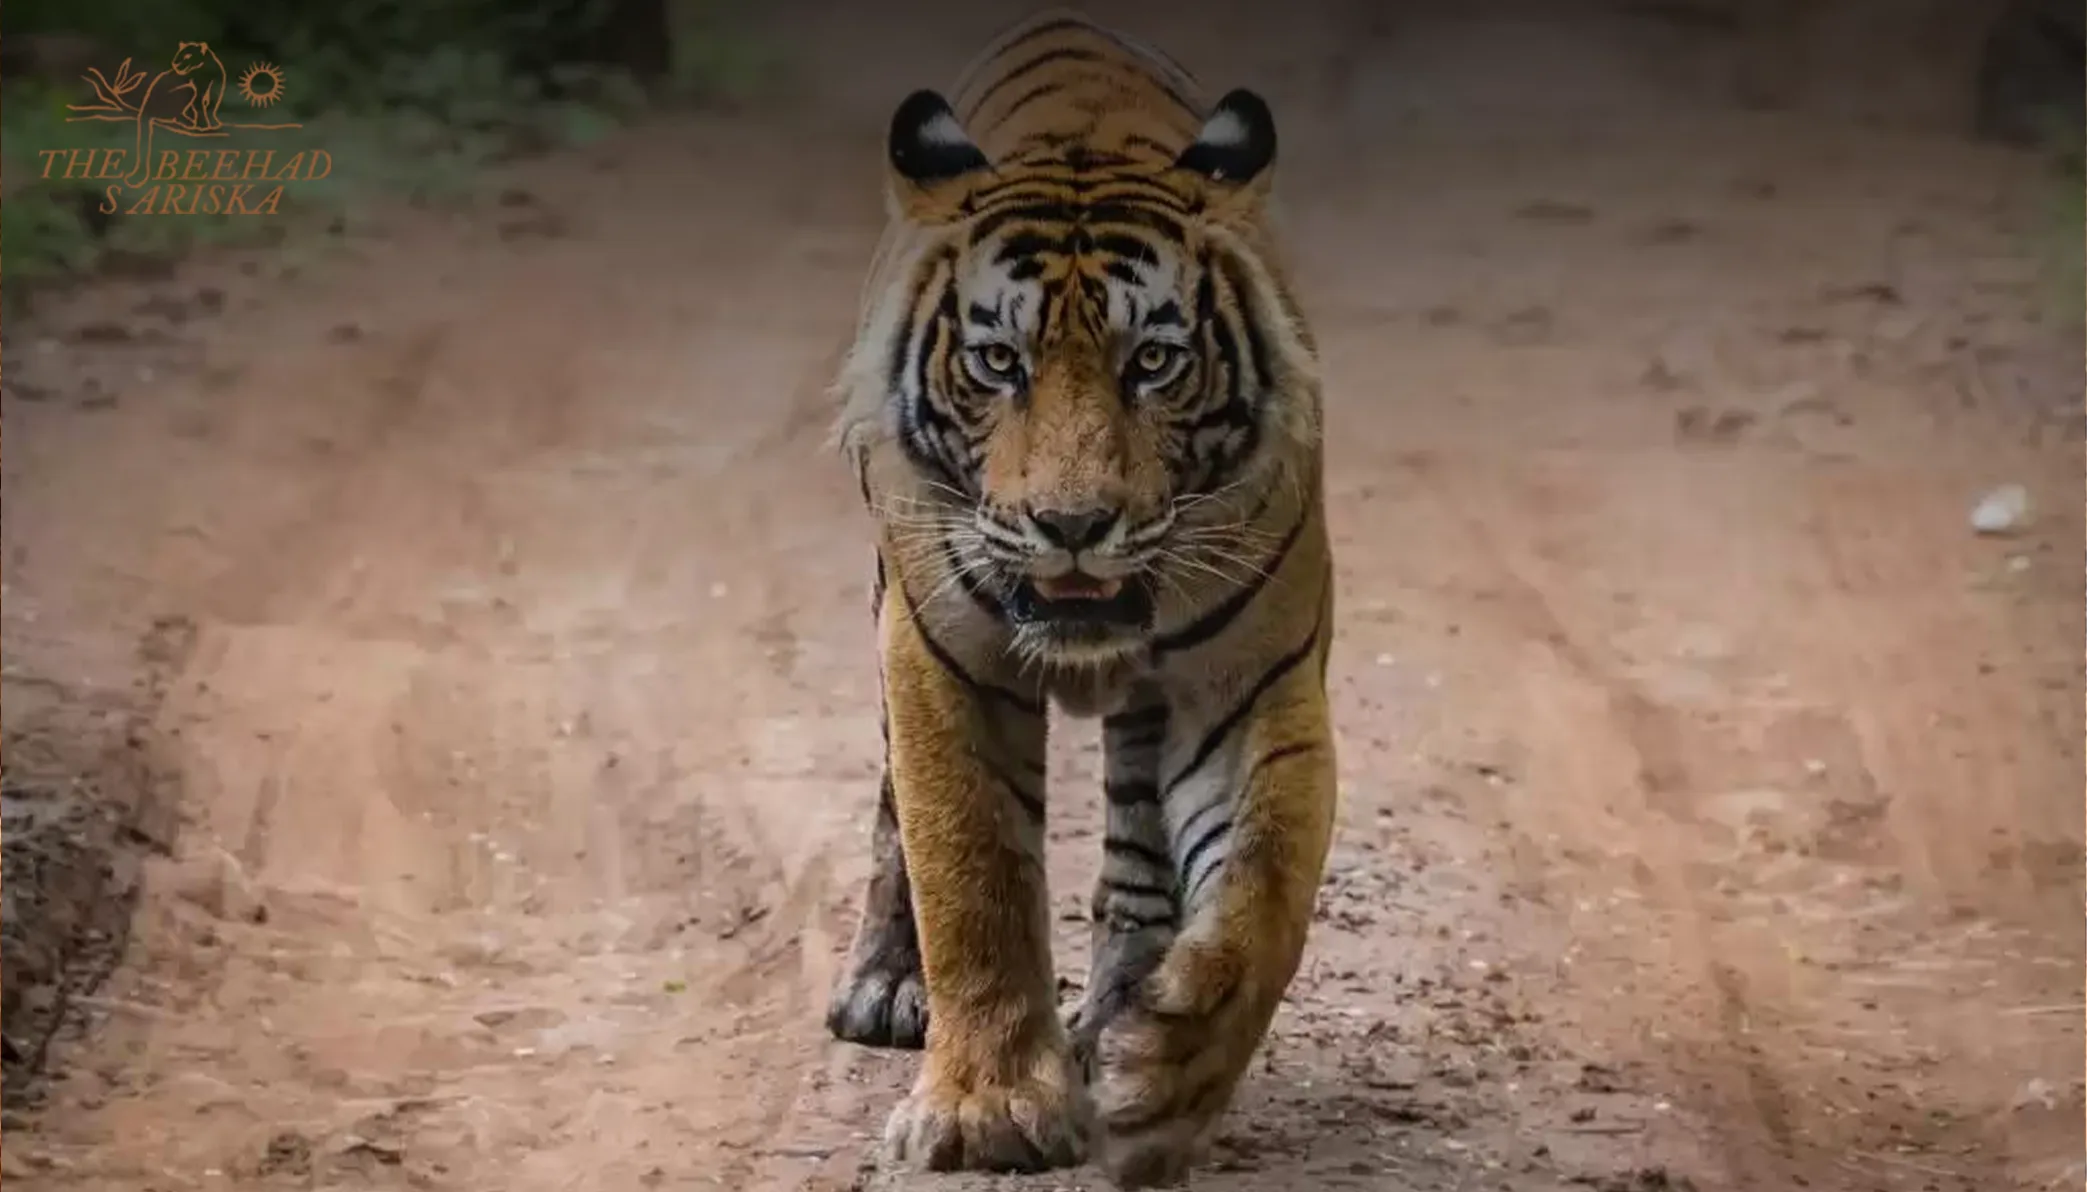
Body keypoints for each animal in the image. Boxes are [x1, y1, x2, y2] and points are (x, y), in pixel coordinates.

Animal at [823, 10, 1338, 1187]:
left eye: (1151, 361)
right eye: (996, 361)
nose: (1071, 524)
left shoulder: (1247, 684)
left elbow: (1264, 884)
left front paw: (1168, 1072)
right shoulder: (936, 653)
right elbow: (970, 865)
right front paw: (987, 1109)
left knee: (1137, 855)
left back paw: (1118, 1015)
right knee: (892, 817)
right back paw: (888, 984)